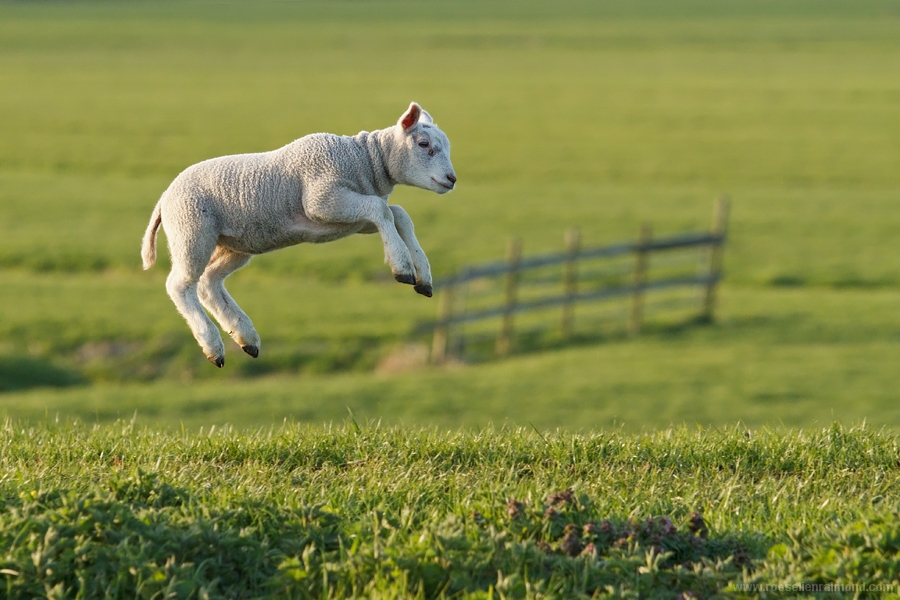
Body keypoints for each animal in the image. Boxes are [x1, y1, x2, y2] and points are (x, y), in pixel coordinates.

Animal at [141, 102, 456, 368]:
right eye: (424, 144)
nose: (452, 179)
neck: (363, 160)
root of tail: (164, 198)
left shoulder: (348, 219)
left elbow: (398, 214)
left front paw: (423, 277)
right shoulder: (323, 199)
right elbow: (383, 209)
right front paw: (402, 267)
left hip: (234, 244)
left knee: (209, 283)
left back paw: (246, 338)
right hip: (192, 230)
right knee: (180, 285)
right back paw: (212, 345)